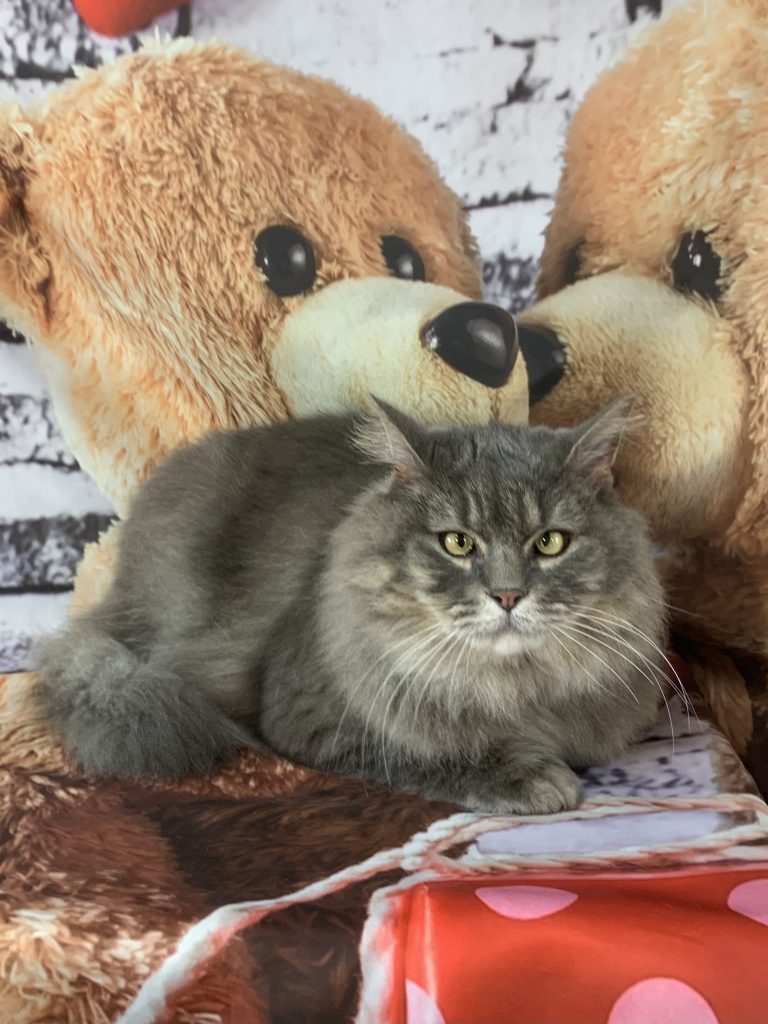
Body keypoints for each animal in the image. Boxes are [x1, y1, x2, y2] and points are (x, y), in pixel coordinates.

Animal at [38, 397, 666, 815]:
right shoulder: (317, 719)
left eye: (551, 543)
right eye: (458, 543)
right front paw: (533, 778)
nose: (508, 595)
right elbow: (441, 751)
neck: (515, 688)